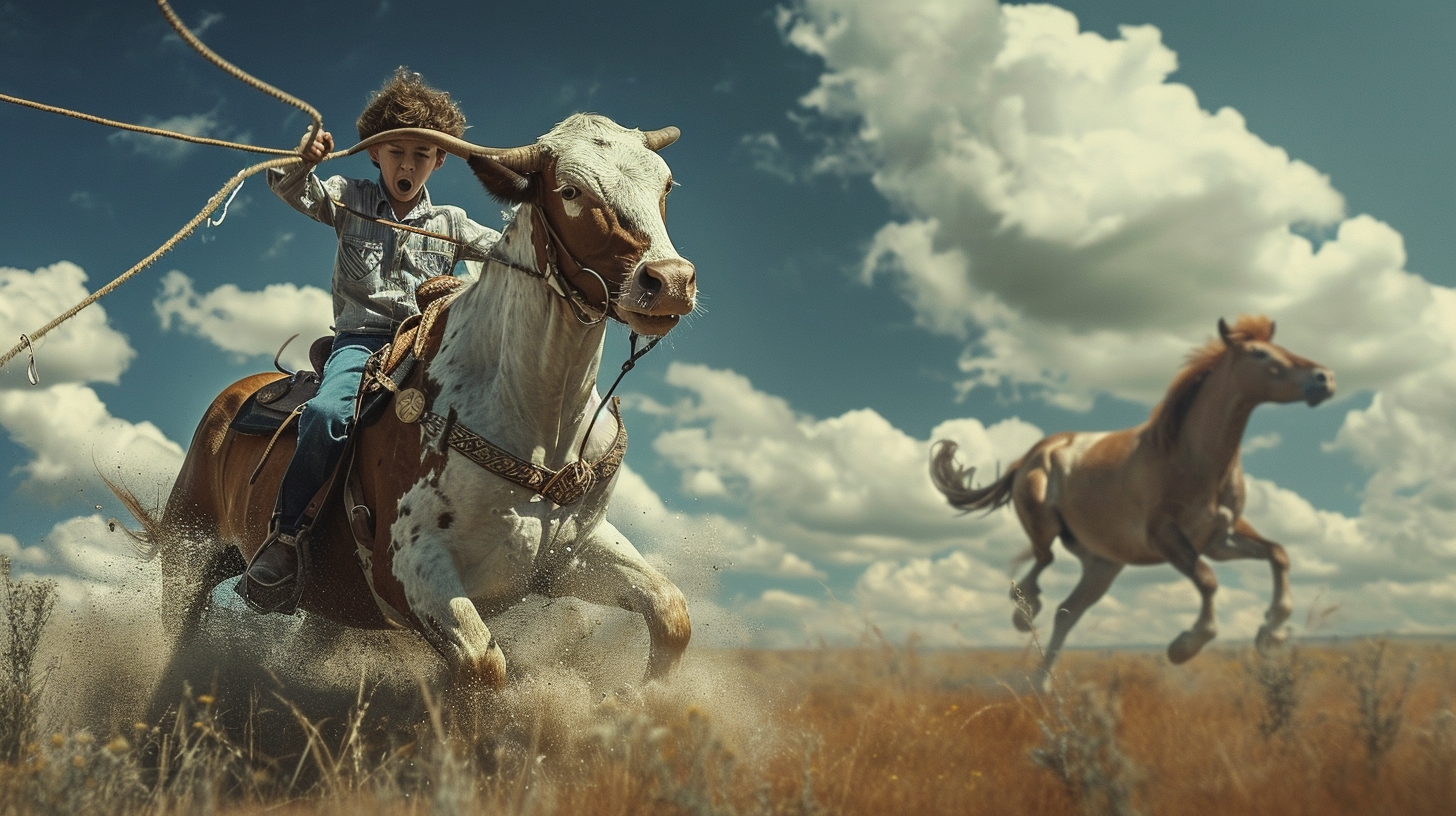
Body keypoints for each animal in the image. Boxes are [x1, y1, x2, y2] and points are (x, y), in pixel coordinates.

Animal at [116, 112, 695, 687]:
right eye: (571, 190)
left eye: (666, 185)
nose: (670, 281)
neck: (530, 412)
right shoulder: (410, 567)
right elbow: (484, 664)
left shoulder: (574, 550)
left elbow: (671, 614)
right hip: (187, 557)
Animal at [931, 316, 1333, 684]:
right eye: (1259, 353)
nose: (1325, 378)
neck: (1191, 458)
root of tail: (1030, 455)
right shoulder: (1165, 535)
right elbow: (1207, 580)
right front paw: (1185, 646)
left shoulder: (1219, 539)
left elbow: (1277, 554)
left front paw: (1272, 633)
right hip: (1046, 523)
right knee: (1041, 565)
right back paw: (1024, 614)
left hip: (1103, 565)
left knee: (1066, 611)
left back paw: (1043, 685)